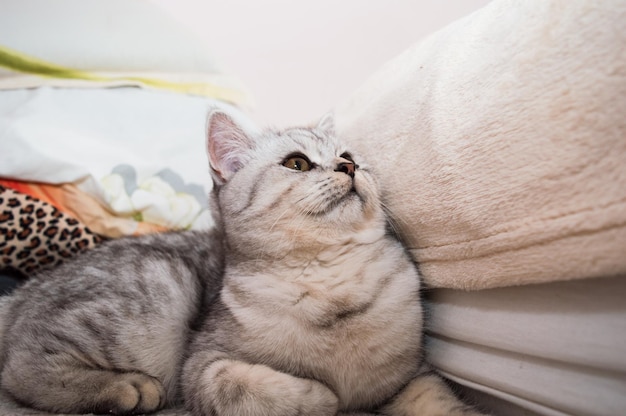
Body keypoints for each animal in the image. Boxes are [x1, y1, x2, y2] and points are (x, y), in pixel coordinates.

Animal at [0, 109, 482, 416]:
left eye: (349, 157)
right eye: (297, 163)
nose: (348, 168)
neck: (330, 279)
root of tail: (25, 291)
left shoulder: (411, 377)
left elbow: (443, 404)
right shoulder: (201, 366)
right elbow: (249, 388)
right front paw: (323, 397)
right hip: (159, 293)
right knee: (22, 371)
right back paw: (127, 388)